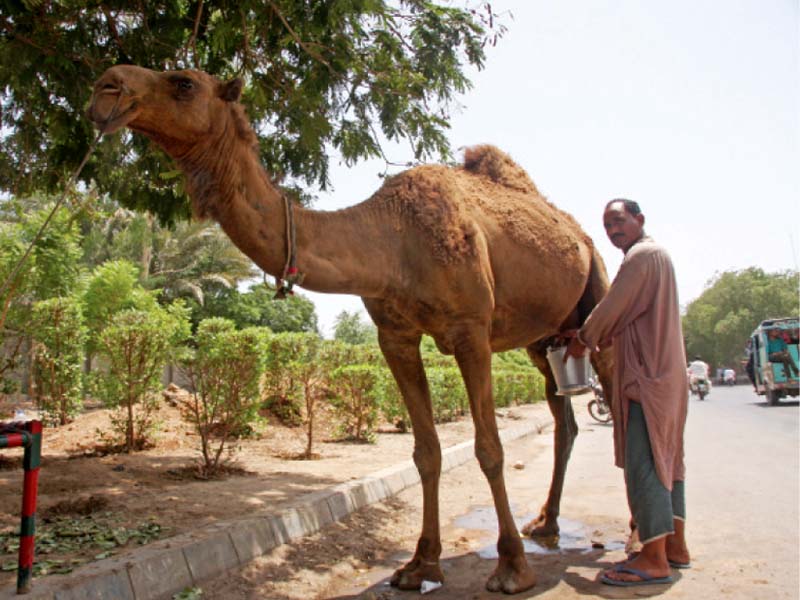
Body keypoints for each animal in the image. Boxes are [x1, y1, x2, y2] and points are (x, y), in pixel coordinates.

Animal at [86, 67, 612, 596]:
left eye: (184, 83)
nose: (106, 86)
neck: (392, 240)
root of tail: (580, 235)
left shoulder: (471, 329)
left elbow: (490, 448)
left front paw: (511, 568)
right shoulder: (394, 335)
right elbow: (427, 451)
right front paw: (419, 565)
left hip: (597, 290)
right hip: (542, 339)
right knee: (563, 418)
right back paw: (546, 523)